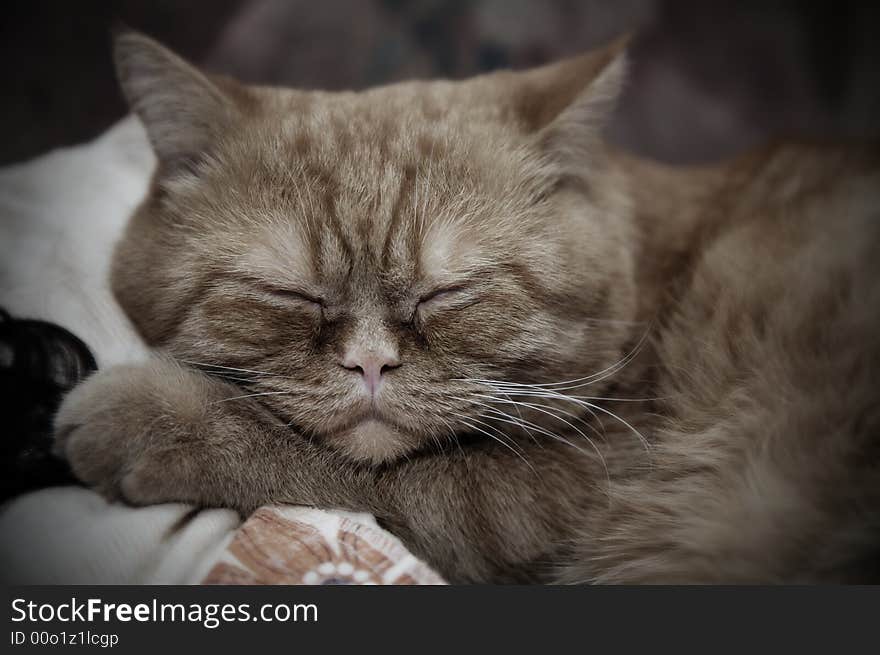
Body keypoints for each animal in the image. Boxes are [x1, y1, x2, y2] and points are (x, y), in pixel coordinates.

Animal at [53, 30, 880, 584]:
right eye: (291, 295)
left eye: (446, 293)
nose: (371, 363)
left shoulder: (565, 491)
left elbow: (360, 470)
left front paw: (158, 414)